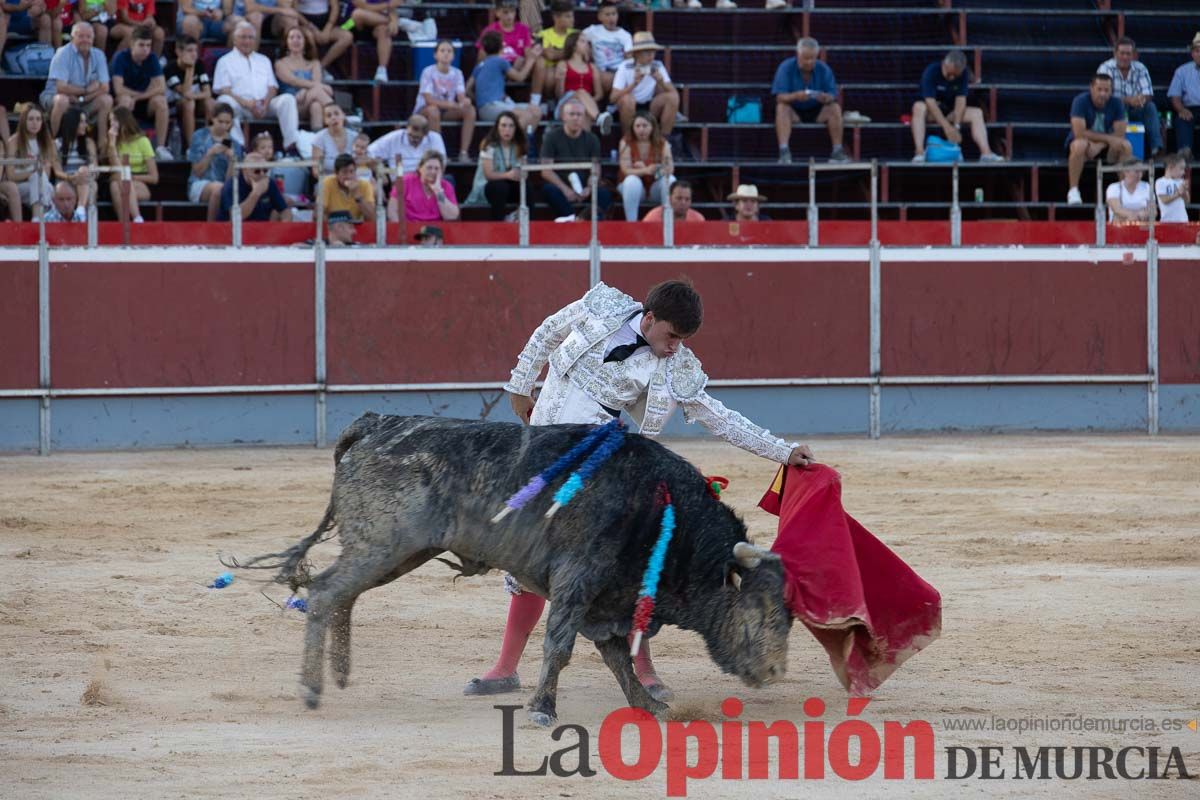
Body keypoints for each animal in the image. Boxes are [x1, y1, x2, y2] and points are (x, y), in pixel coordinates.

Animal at [231, 412, 796, 724]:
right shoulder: (578, 579)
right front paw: (543, 708)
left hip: (396, 552)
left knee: (342, 594)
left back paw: (341, 674)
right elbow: (561, 646)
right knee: (326, 592)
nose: (774, 672)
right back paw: (313, 689)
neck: (659, 512)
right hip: (383, 545)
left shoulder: (610, 596)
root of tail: (375, 424)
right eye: (761, 609)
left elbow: (619, 657)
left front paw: (650, 705)